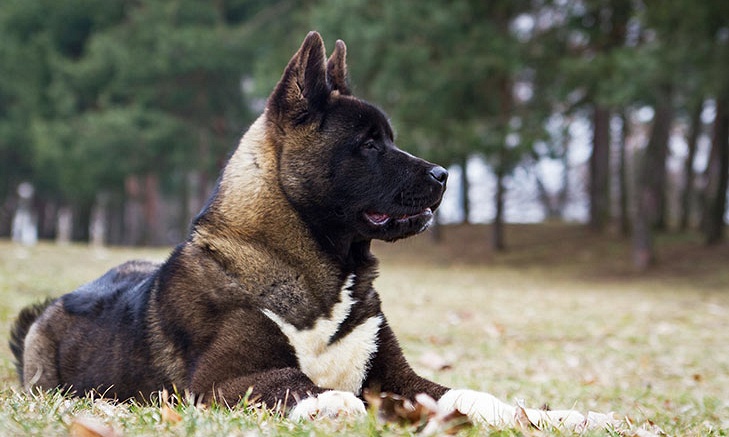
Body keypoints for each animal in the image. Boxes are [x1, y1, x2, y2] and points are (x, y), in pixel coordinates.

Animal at [11, 31, 616, 430]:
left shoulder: (400, 377)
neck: (317, 269)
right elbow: (303, 384)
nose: (445, 175)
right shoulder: (218, 384)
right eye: (369, 143)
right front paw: (335, 404)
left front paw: (564, 414)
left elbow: (473, 395)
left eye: (389, 137)